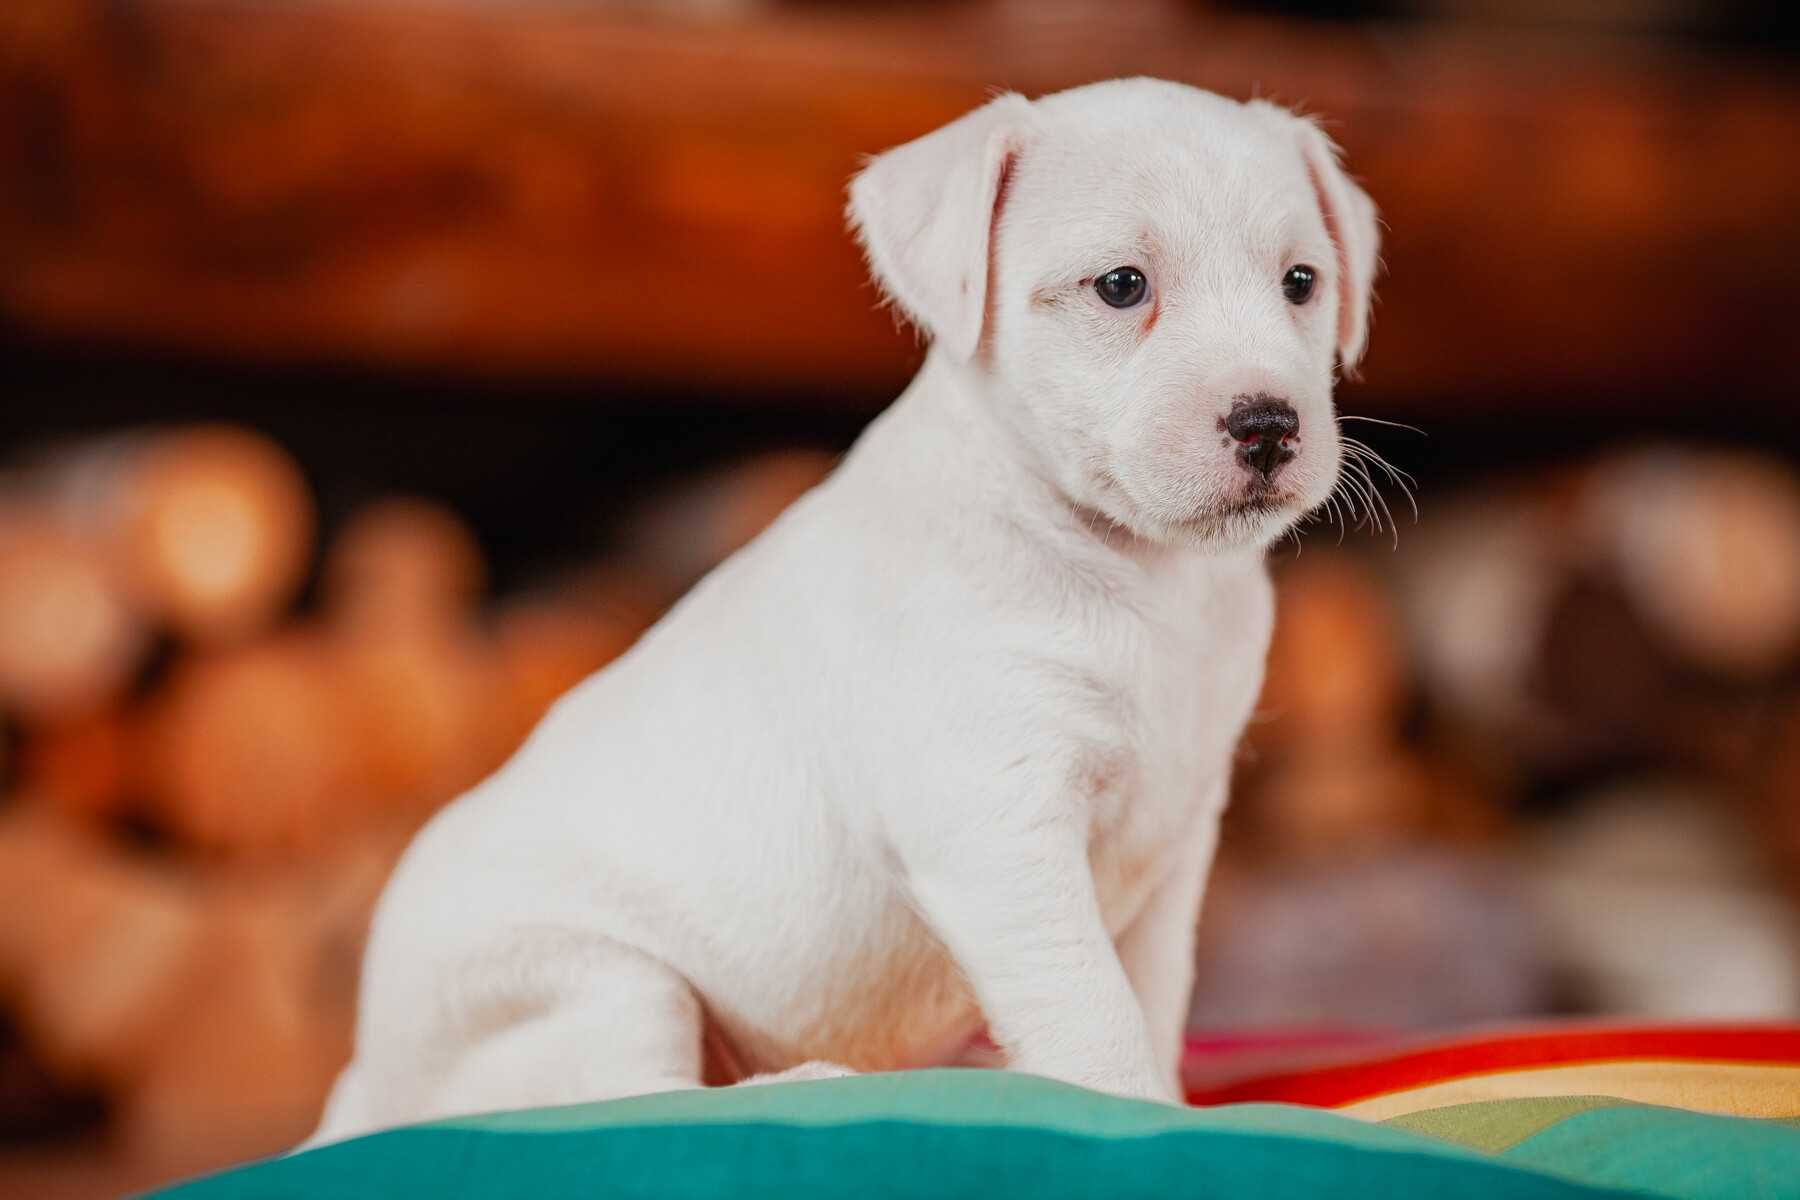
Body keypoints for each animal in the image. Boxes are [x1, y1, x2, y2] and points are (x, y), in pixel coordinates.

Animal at [309, 77, 1375, 1144]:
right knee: (636, 1095)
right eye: (1121, 286)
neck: (1139, 573)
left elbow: (1150, 996)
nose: (1268, 425)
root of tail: (364, 1081)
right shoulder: (1001, 829)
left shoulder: (1174, 844)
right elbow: (1091, 1008)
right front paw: (1129, 1113)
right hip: (594, 984)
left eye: (1300, 283)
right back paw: (813, 1083)